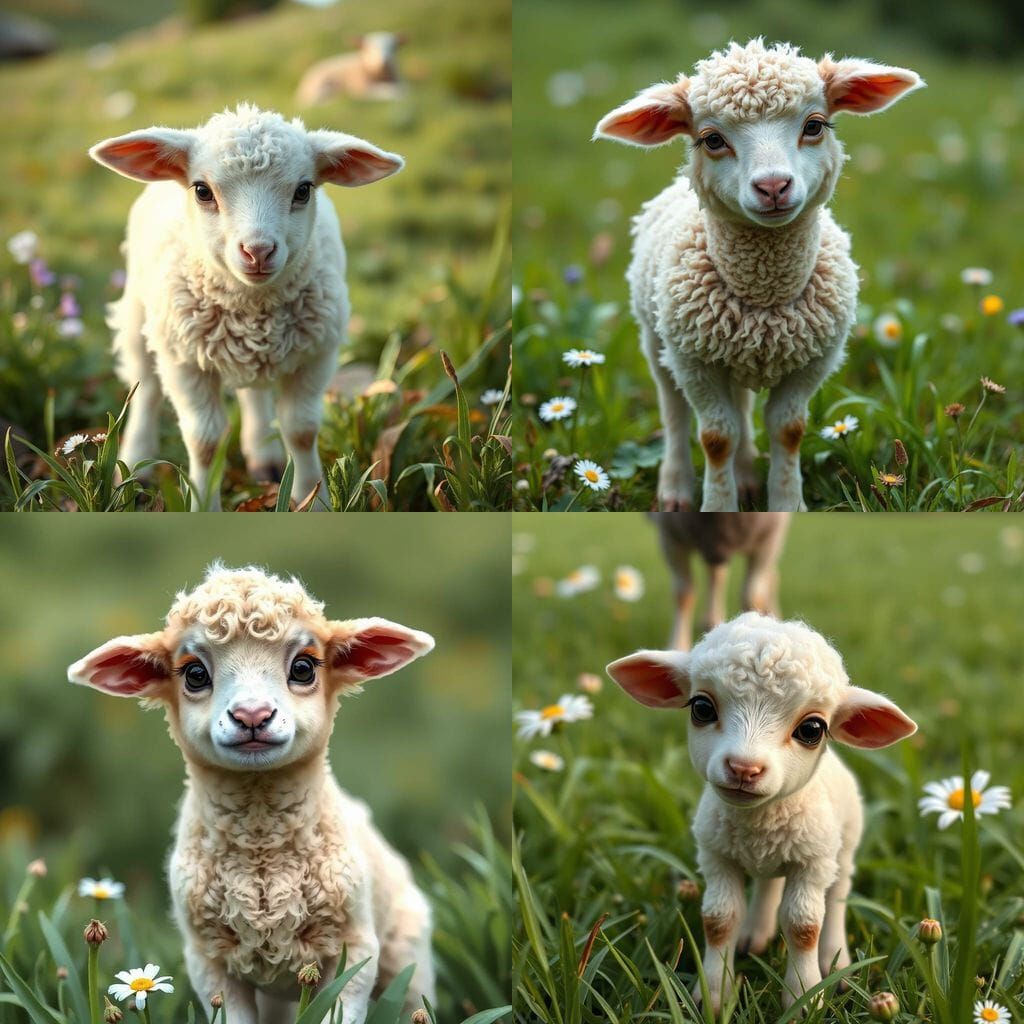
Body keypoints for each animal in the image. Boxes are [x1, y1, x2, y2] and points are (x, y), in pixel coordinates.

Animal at [68, 563, 436, 1024]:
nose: (252, 715)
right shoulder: (208, 958)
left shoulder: (354, 947)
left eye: (303, 668)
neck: (262, 850)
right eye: (195, 674)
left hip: (407, 955)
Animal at [90, 104, 403, 510]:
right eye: (202, 191)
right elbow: (205, 442)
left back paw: (264, 460)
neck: (252, 304)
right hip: (139, 313)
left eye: (303, 190)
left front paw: (312, 499)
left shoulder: (317, 353)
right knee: (145, 390)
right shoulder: (183, 360)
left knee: (253, 394)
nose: (258, 251)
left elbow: (301, 430)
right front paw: (204, 505)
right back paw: (135, 464)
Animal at [594, 39, 924, 511]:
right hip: (657, 339)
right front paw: (717, 506)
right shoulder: (694, 362)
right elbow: (716, 437)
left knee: (742, 407)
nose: (773, 187)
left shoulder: (814, 361)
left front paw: (786, 504)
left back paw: (748, 476)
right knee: (673, 410)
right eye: (712, 139)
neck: (763, 299)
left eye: (814, 125)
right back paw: (676, 488)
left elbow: (788, 430)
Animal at [607, 612, 917, 1012]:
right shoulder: (716, 855)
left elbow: (803, 926)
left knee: (838, 895)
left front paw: (804, 998)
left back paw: (837, 962)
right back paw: (754, 935)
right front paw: (714, 996)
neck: (758, 820)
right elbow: (719, 919)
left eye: (812, 729)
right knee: (769, 884)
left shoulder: (813, 862)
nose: (744, 768)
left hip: (844, 844)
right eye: (701, 708)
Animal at [652, 511, 790, 649]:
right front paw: (677, 646)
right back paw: (712, 621)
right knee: (716, 574)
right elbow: (683, 595)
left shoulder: (769, 539)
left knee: (770, 577)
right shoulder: (670, 537)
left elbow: (752, 597)